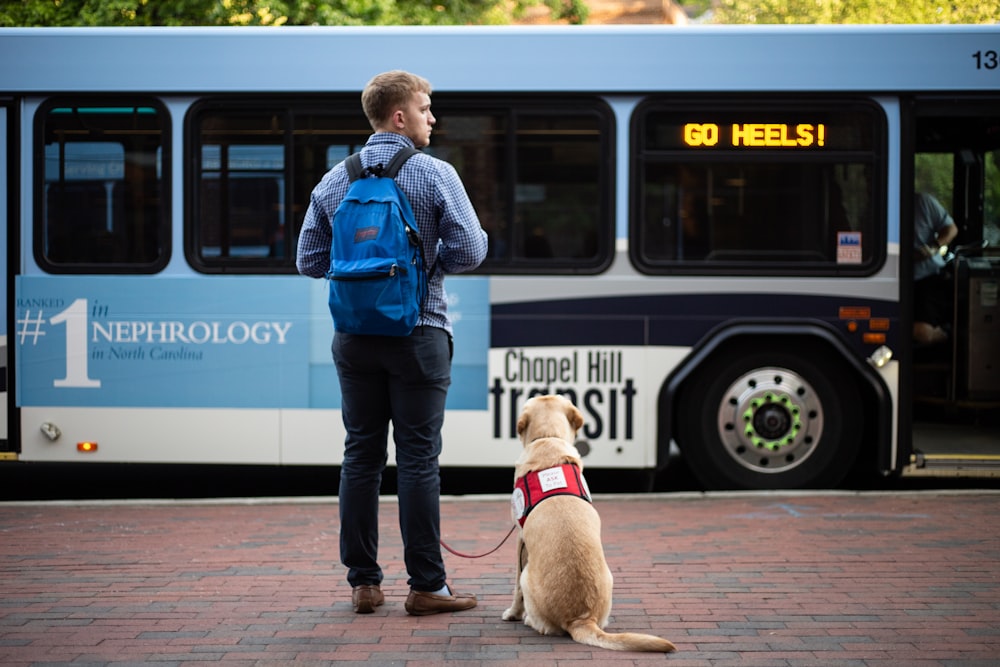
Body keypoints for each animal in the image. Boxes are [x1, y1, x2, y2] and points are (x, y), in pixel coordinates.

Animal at [504, 396, 676, 652]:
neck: (548, 437)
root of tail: (581, 619)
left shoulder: (520, 539)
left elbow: (515, 589)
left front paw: (512, 614)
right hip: (610, 579)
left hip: (528, 576)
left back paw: (528, 619)